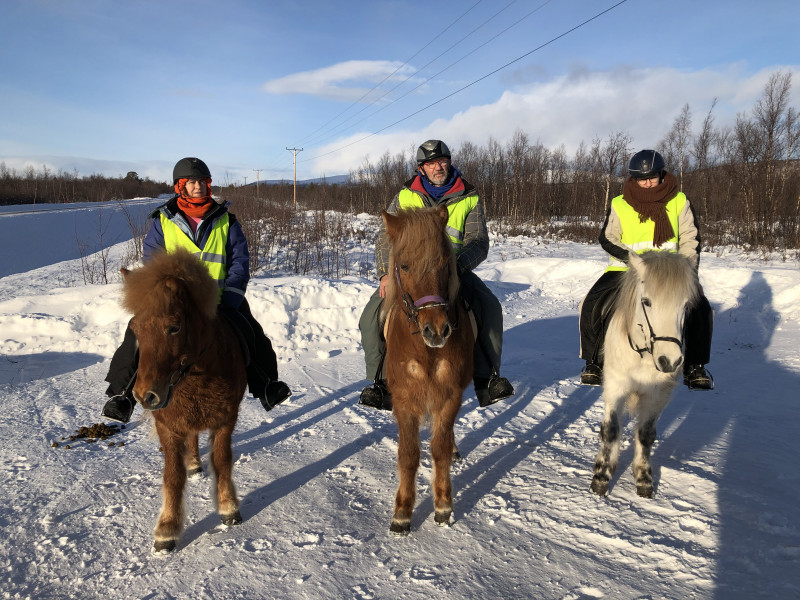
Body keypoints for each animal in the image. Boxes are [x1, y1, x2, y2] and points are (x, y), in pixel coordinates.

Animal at [119, 246, 247, 552]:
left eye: (174, 327)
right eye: (135, 329)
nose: (145, 395)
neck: (195, 378)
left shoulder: (226, 419)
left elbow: (222, 461)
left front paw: (228, 507)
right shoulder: (167, 425)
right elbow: (173, 475)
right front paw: (167, 529)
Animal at [382, 206, 472, 536]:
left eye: (445, 264)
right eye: (404, 265)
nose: (437, 330)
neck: (425, 350)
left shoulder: (450, 395)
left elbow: (440, 448)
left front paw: (443, 506)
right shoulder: (404, 400)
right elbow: (409, 455)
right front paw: (402, 512)